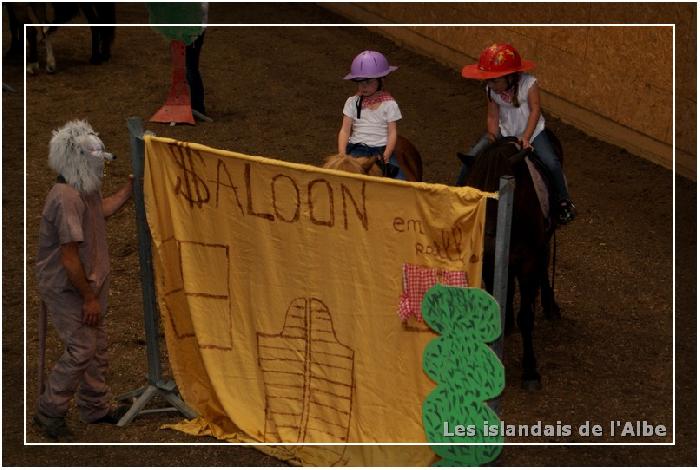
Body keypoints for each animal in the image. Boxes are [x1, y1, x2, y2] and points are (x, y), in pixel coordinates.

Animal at [460, 132, 564, 390]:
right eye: (474, 186)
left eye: (502, 191)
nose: (487, 237)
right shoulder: (490, 261)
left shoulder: (528, 262)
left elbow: (526, 316)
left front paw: (530, 370)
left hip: (545, 240)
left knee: (544, 266)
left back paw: (550, 305)